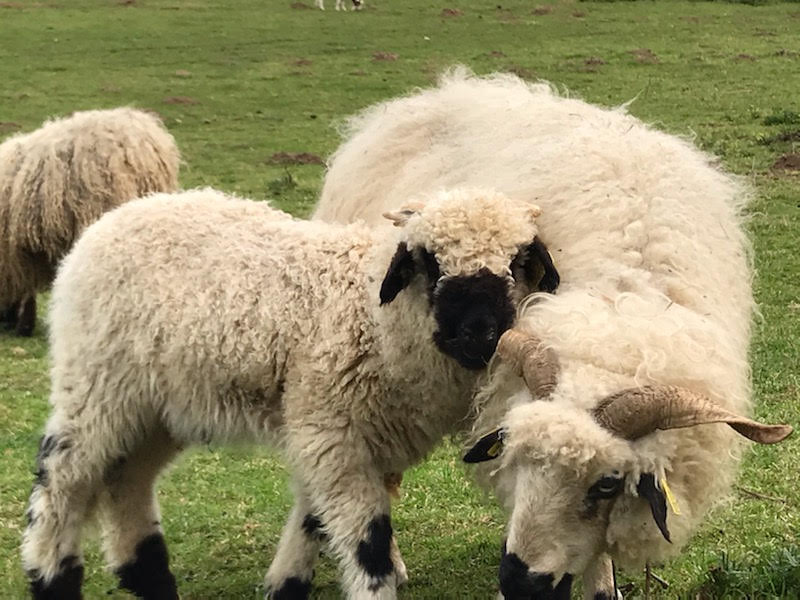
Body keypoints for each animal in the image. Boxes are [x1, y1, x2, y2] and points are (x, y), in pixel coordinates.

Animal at [23, 185, 552, 596]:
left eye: (516, 262)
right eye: (430, 262)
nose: (480, 333)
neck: (371, 316)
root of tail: (112, 219)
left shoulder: (334, 436)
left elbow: (313, 518)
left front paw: (285, 584)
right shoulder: (330, 428)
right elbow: (369, 542)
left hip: (158, 404)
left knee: (126, 478)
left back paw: (148, 577)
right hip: (97, 381)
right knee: (63, 478)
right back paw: (51, 578)